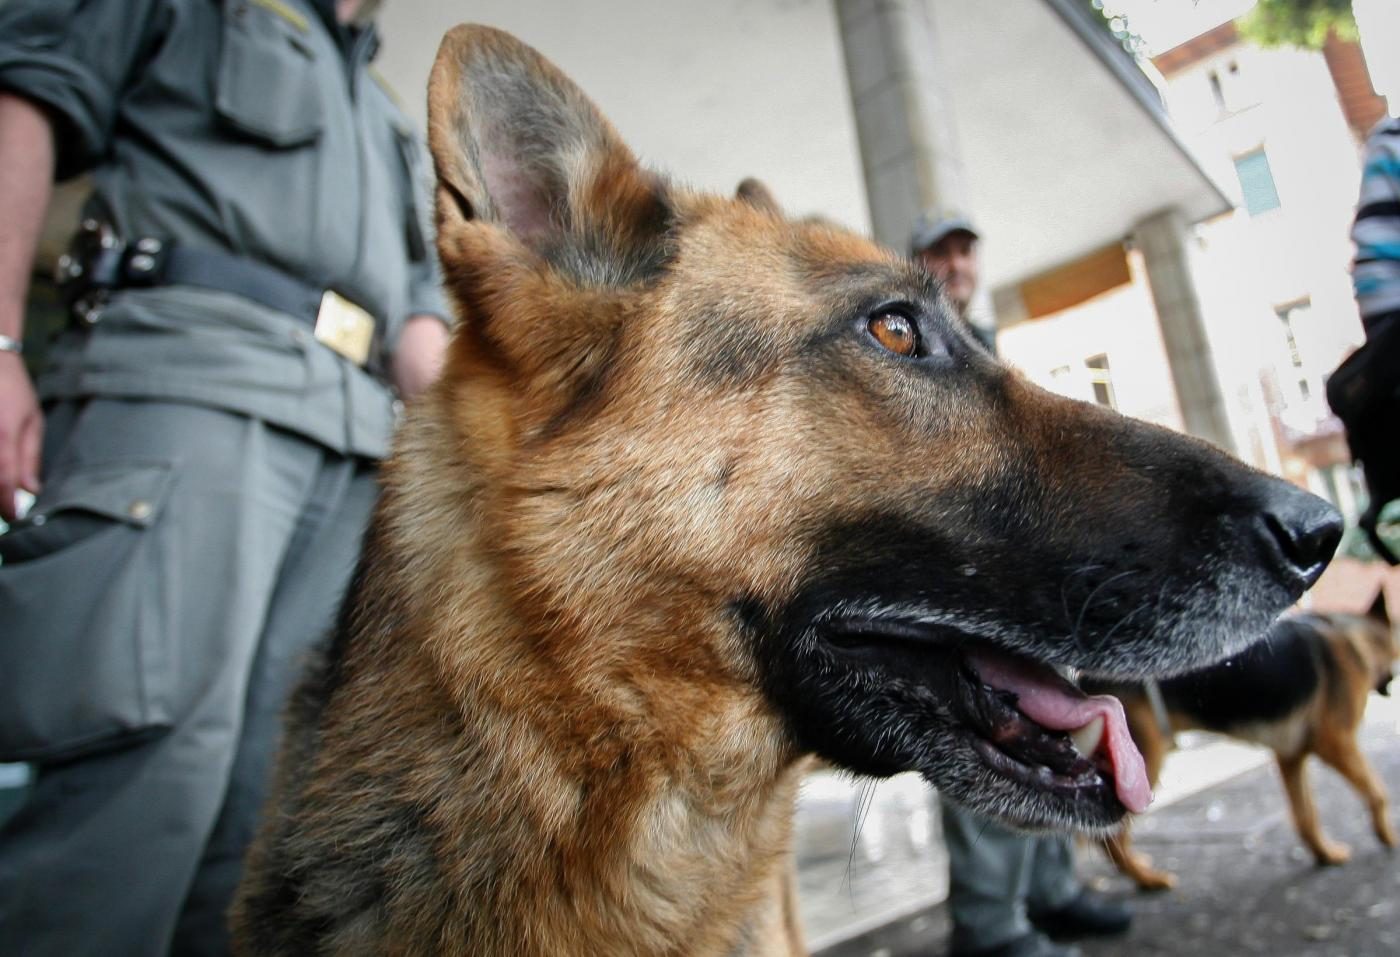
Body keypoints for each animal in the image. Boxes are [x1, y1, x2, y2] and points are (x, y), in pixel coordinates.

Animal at [1097, 590, 1394, 889]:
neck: (1358, 638)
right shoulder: (1336, 743)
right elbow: (1378, 792)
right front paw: (1389, 836)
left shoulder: (1290, 756)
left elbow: (1305, 814)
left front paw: (1324, 853)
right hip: (1141, 767)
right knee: (1108, 836)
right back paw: (1149, 880)